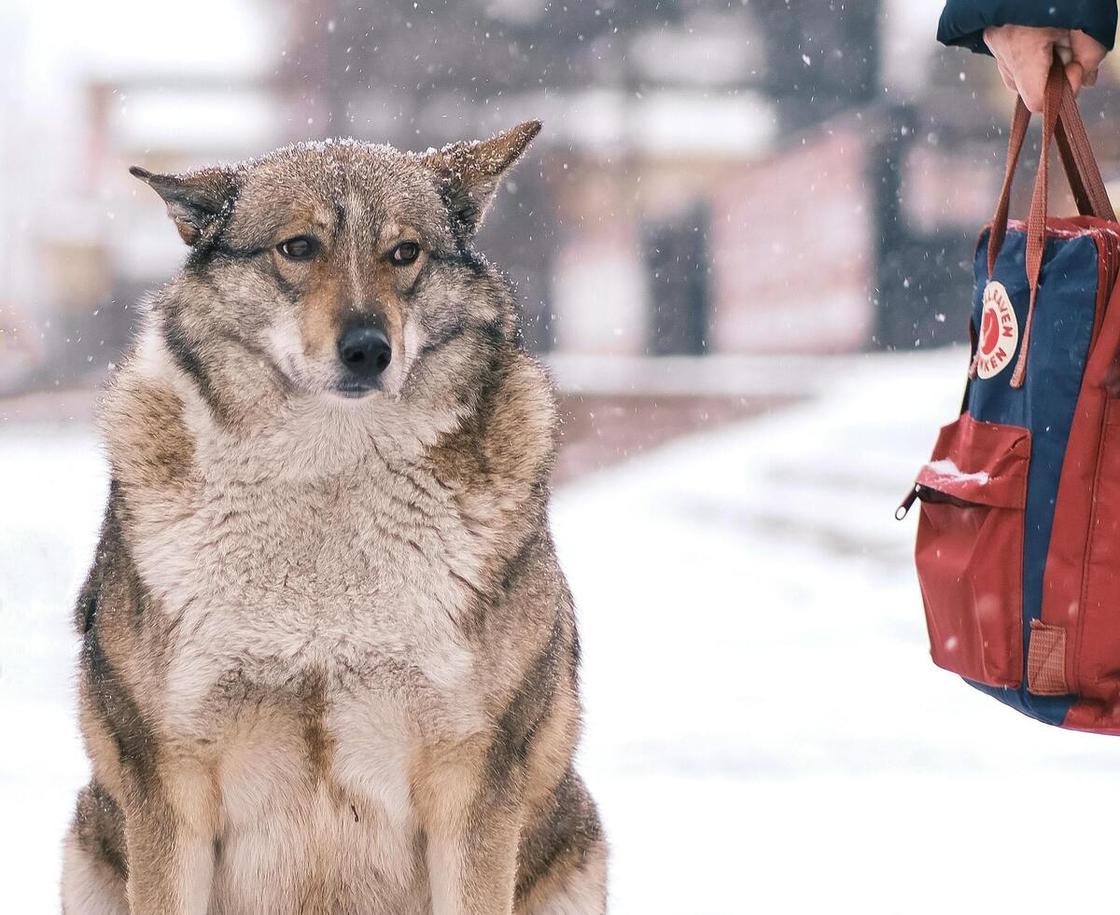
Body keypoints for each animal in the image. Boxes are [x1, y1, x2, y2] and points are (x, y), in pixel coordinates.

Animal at [61, 123, 609, 913]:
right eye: (298, 247)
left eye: (405, 252)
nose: (368, 349)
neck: (329, 478)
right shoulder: (169, 785)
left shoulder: (474, 785)